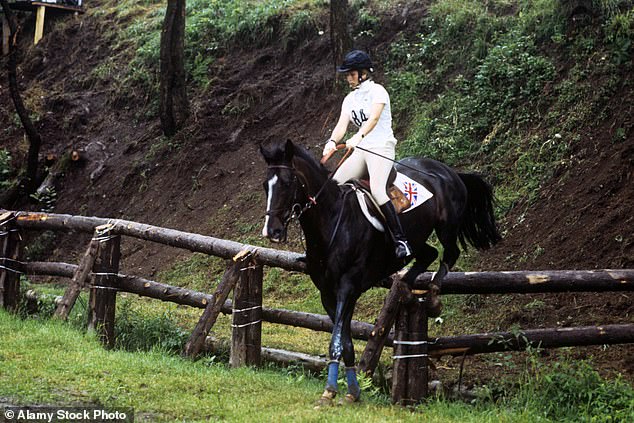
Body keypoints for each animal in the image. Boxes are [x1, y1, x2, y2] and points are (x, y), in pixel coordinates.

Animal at [260, 141, 496, 406]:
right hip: (417, 237)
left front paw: (329, 391)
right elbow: (346, 342)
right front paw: (351, 391)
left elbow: (336, 342)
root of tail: (448, 171)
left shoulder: (347, 288)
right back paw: (403, 284)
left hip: (446, 227)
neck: (332, 221)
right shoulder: (328, 294)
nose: (272, 231)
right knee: (428, 254)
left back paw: (433, 295)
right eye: (265, 185)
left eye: (287, 183)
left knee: (449, 254)